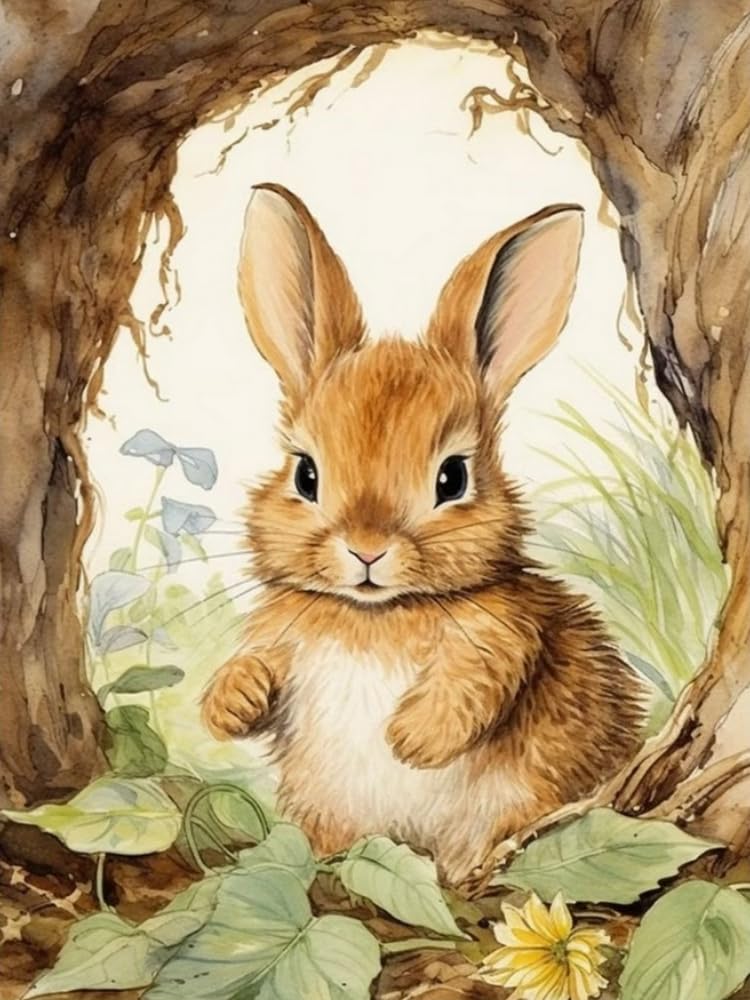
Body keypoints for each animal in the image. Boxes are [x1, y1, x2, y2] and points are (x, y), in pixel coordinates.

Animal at [201, 183, 644, 886]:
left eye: (452, 477)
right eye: (305, 474)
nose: (366, 548)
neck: (374, 614)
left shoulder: (505, 636)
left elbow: (478, 679)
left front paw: (410, 739)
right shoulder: (280, 639)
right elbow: (253, 666)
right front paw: (233, 700)